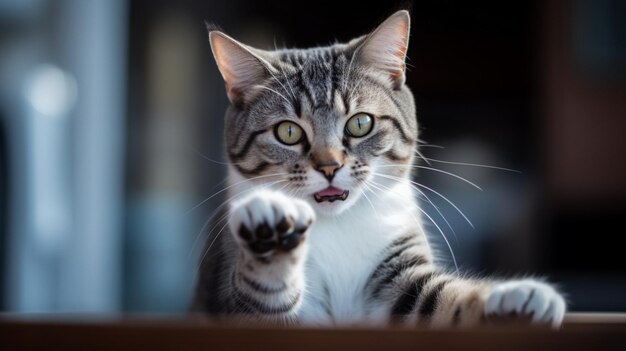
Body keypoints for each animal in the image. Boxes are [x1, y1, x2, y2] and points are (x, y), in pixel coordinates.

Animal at [191, 11, 564, 330]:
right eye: (288, 132)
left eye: (360, 123)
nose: (330, 166)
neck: (338, 224)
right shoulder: (238, 306)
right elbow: (262, 296)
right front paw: (269, 229)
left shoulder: (402, 273)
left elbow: (447, 300)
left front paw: (518, 296)